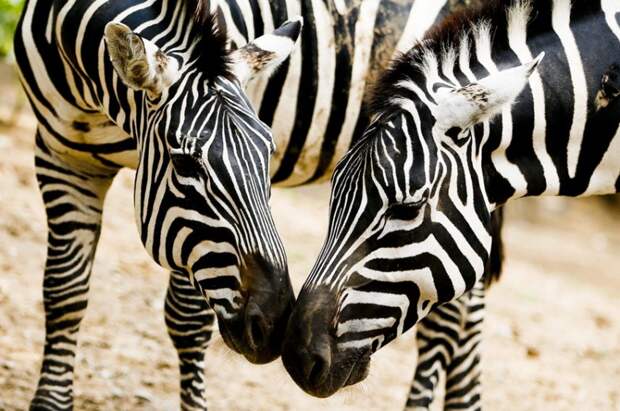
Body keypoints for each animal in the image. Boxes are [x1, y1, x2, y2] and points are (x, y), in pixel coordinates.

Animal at [14, 0, 472, 408]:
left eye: (268, 153)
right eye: (185, 163)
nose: (274, 326)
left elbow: (187, 322)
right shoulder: (61, 158)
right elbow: (64, 292)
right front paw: (50, 402)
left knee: (447, 326)